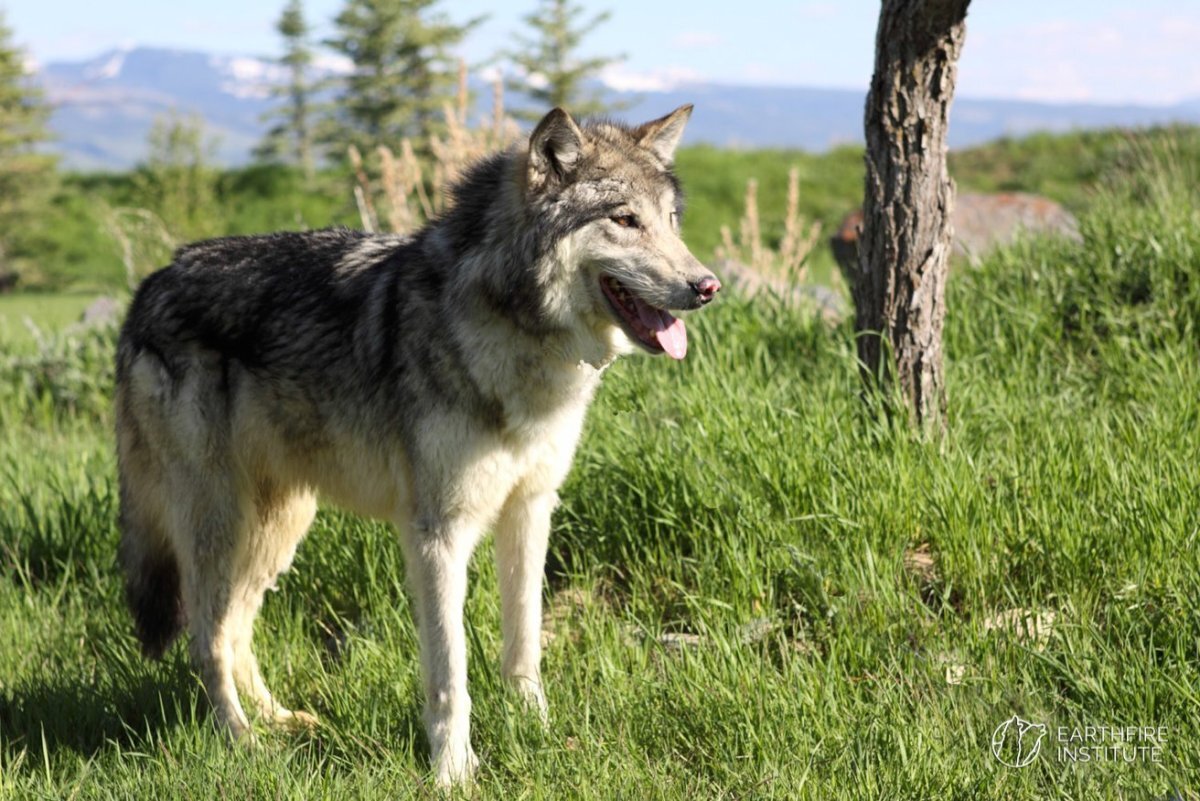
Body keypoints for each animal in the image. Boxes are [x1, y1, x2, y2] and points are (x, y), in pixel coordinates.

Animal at [112, 103, 715, 786]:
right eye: (625, 220)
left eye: (670, 221)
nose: (707, 285)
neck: (514, 337)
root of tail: (148, 287)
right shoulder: (438, 534)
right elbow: (451, 674)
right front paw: (454, 772)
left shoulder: (531, 510)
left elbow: (524, 645)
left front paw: (538, 732)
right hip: (219, 523)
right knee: (205, 639)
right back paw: (244, 742)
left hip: (278, 526)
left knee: (236, 628)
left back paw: (282, 722)